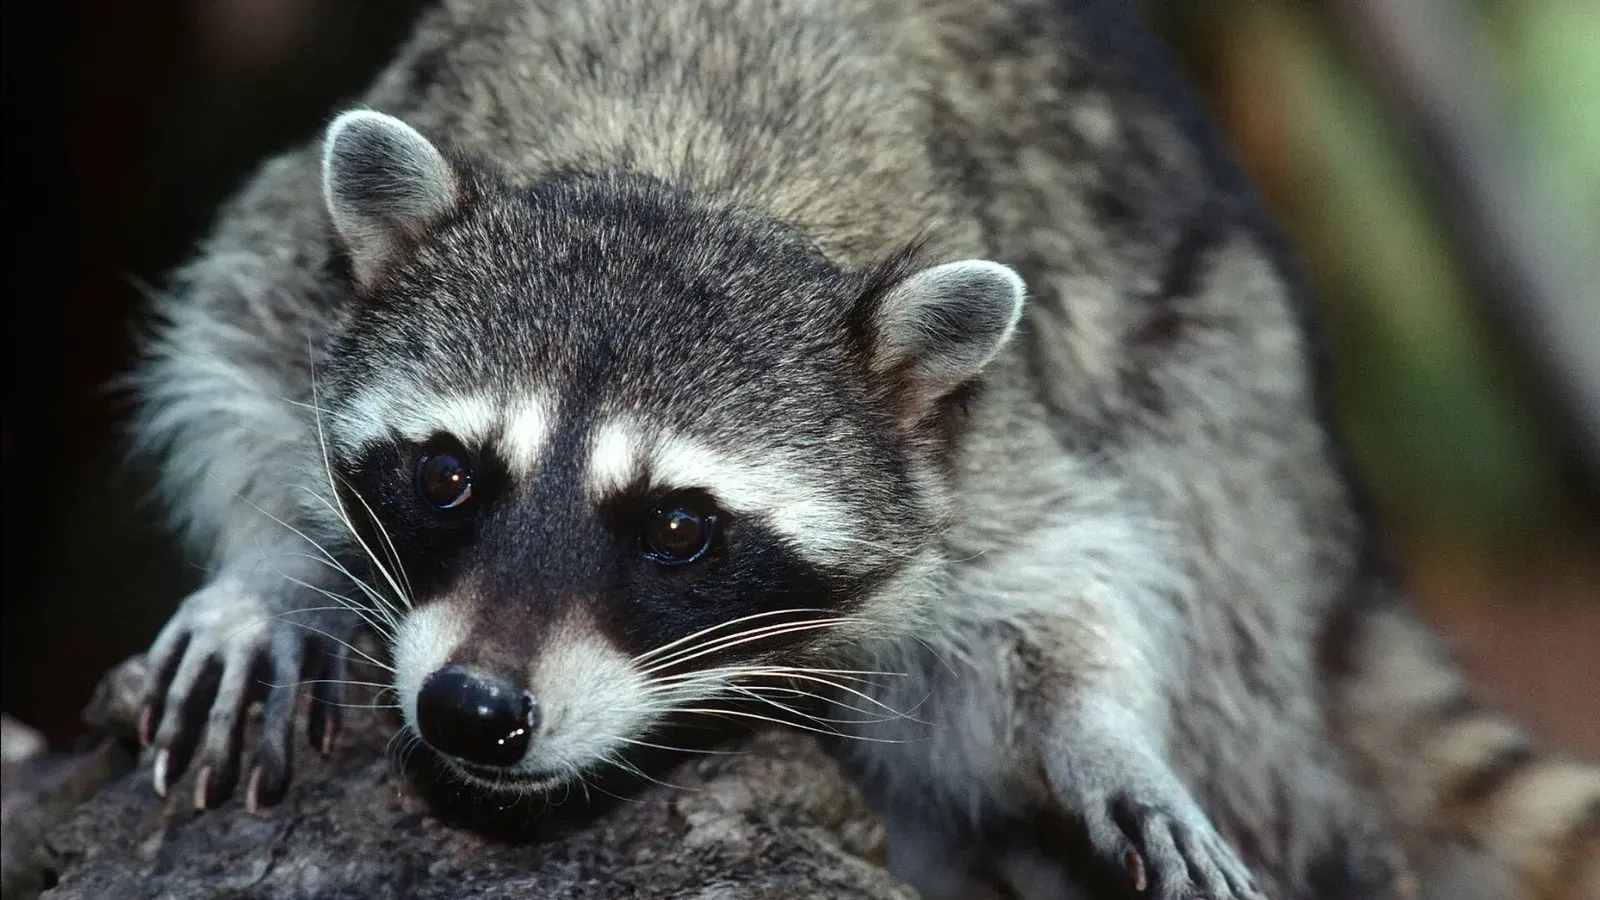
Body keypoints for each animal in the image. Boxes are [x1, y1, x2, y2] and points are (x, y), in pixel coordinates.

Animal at [124, 0, 1600, 898]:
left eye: (677, 529)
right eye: (446, 476)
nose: (474, 711)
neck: (683, 172)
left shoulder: (973, 431)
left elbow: (1058, 581)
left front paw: (1103, 731)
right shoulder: (315, 250)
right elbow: (234, 348)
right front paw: (266, 573)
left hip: (1230, 399)